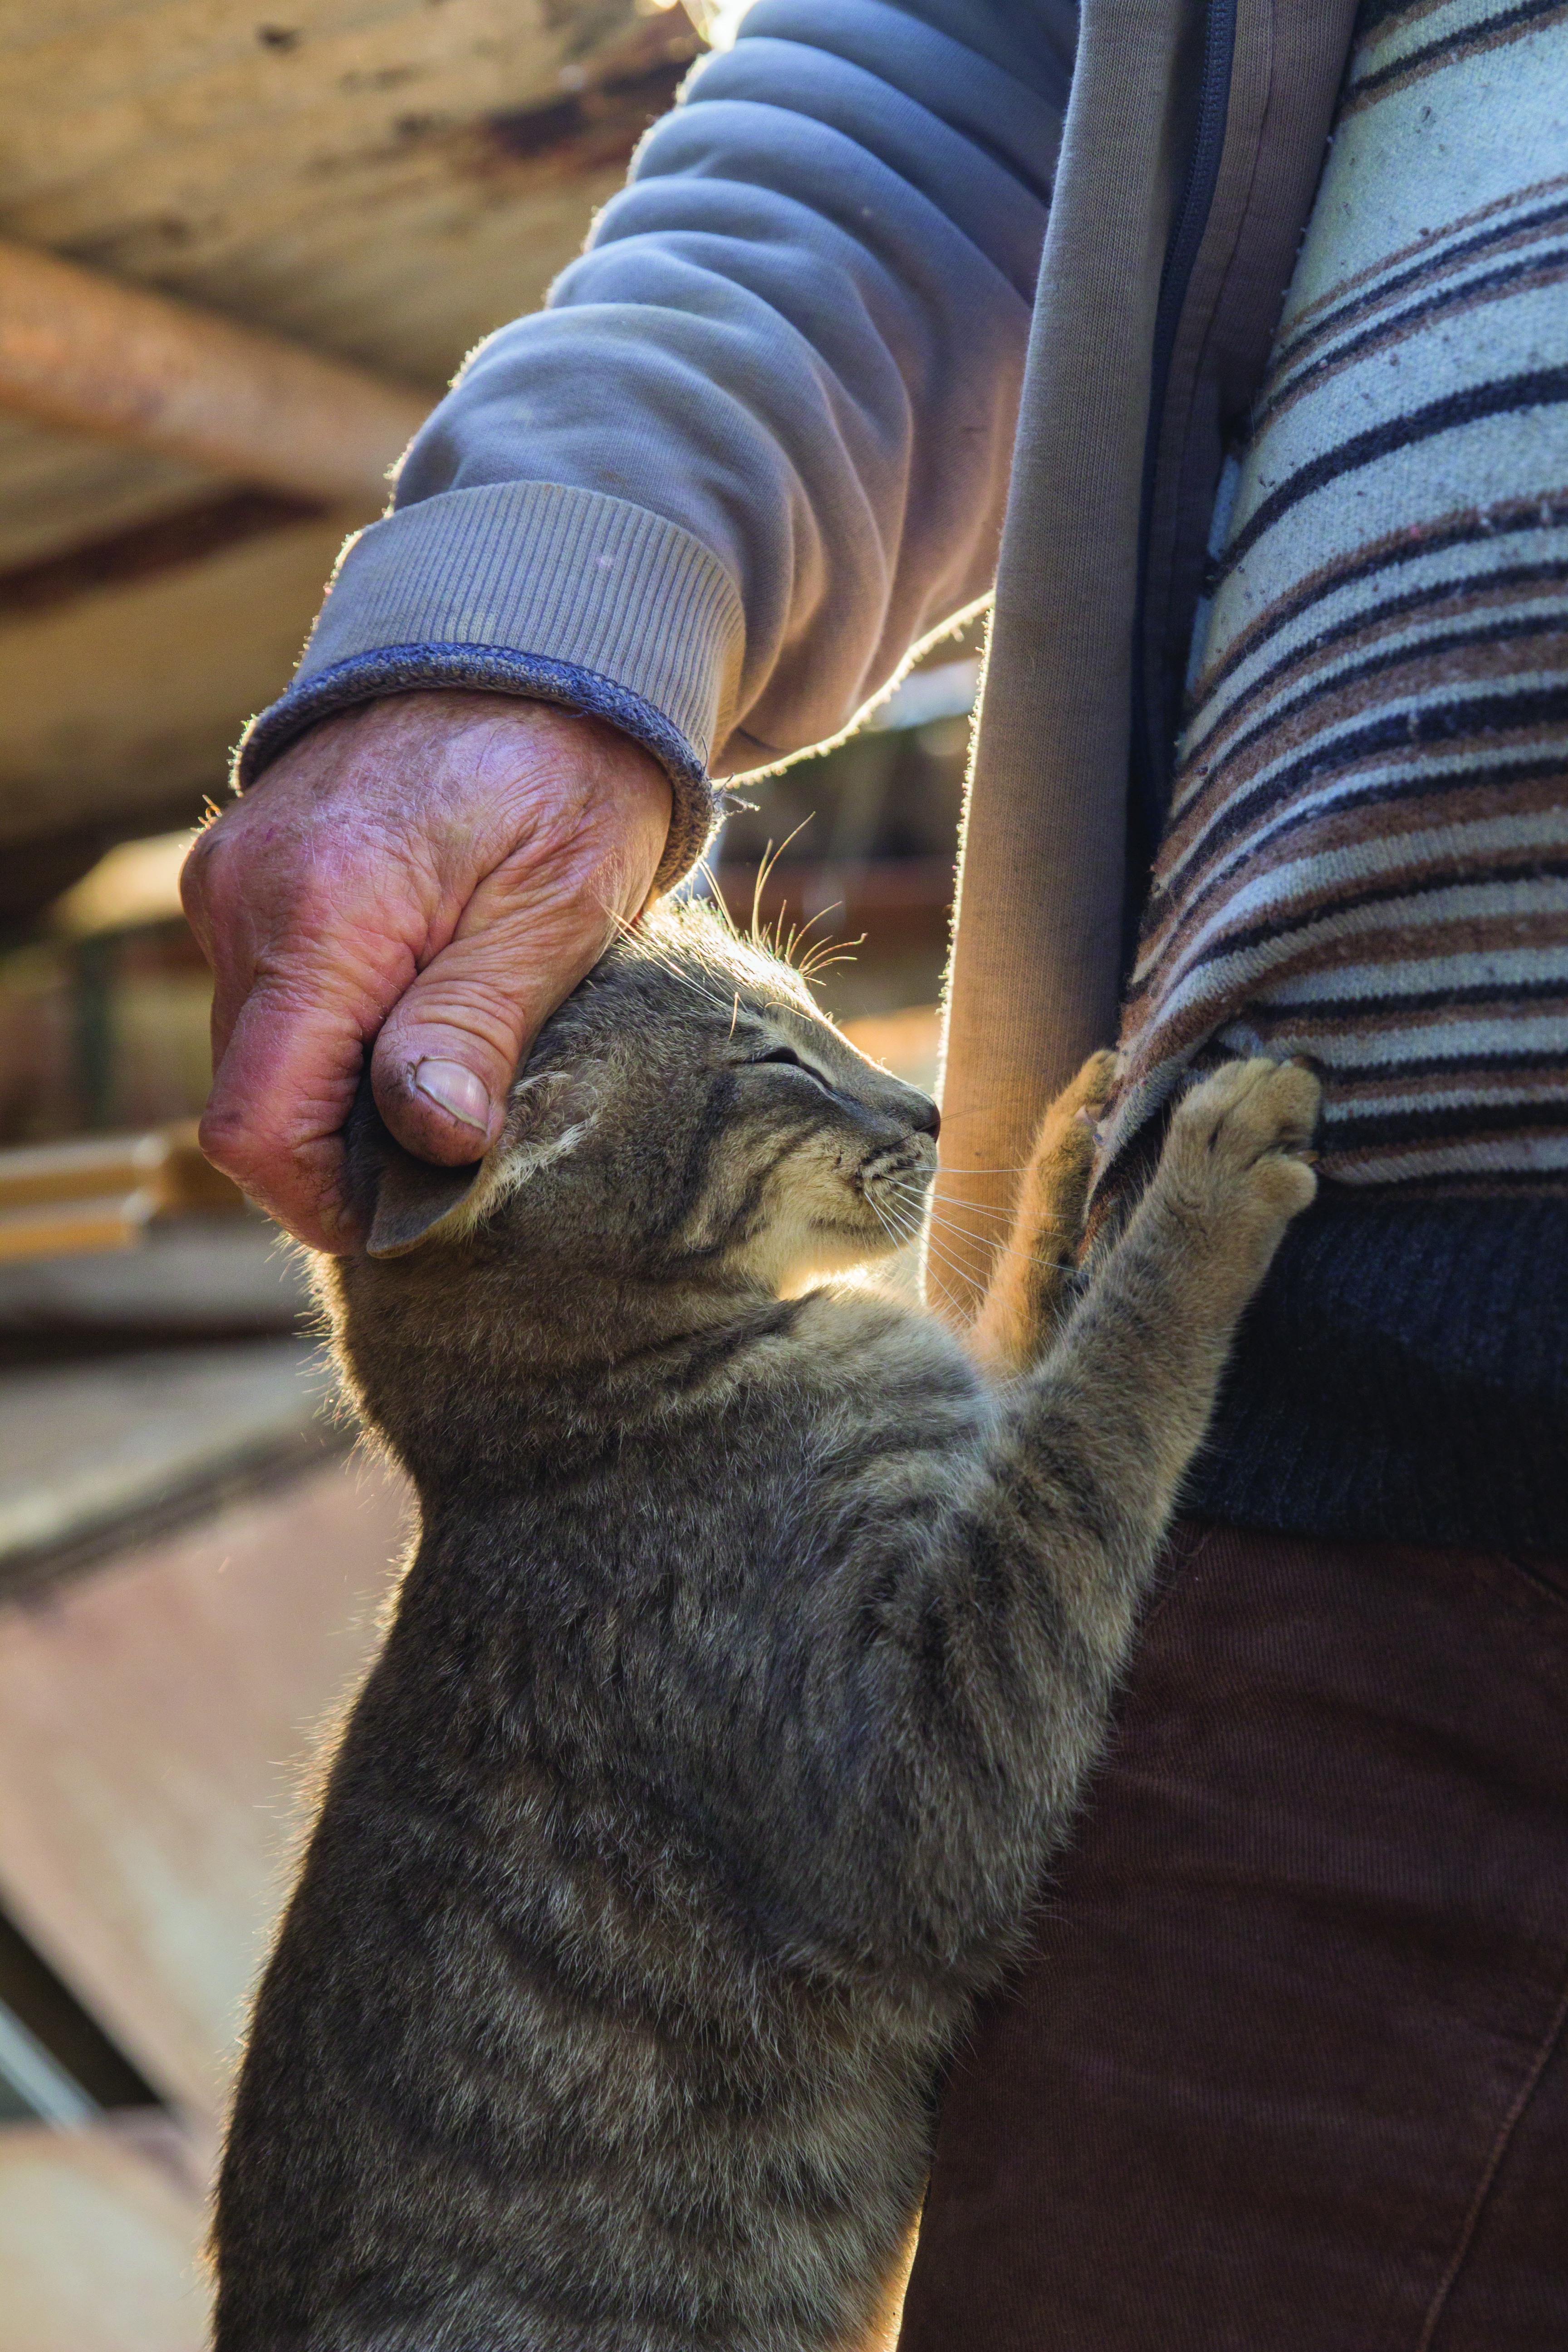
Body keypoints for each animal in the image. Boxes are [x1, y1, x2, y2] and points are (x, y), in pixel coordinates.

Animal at [215, 903, 1316, 2352]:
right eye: (774, 1064)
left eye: (818, 1012)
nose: (925, 1102)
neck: (578, 1423)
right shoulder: (923, 1782)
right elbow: (1095, 1414)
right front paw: (1198, 1193)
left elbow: (1020, 1351)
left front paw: (1063, 1157)